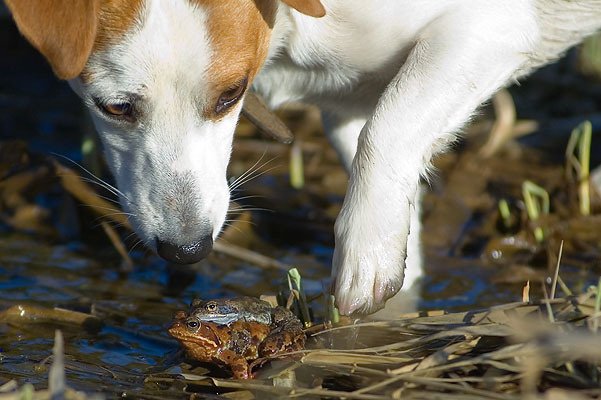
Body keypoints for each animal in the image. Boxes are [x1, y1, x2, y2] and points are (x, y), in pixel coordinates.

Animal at [4, 0, 600, 316]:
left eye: (231, 95)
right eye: (115, 107)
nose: (187, 250)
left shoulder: (487, 28)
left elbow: (388, 131)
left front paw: (363, 254)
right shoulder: (350, 108)